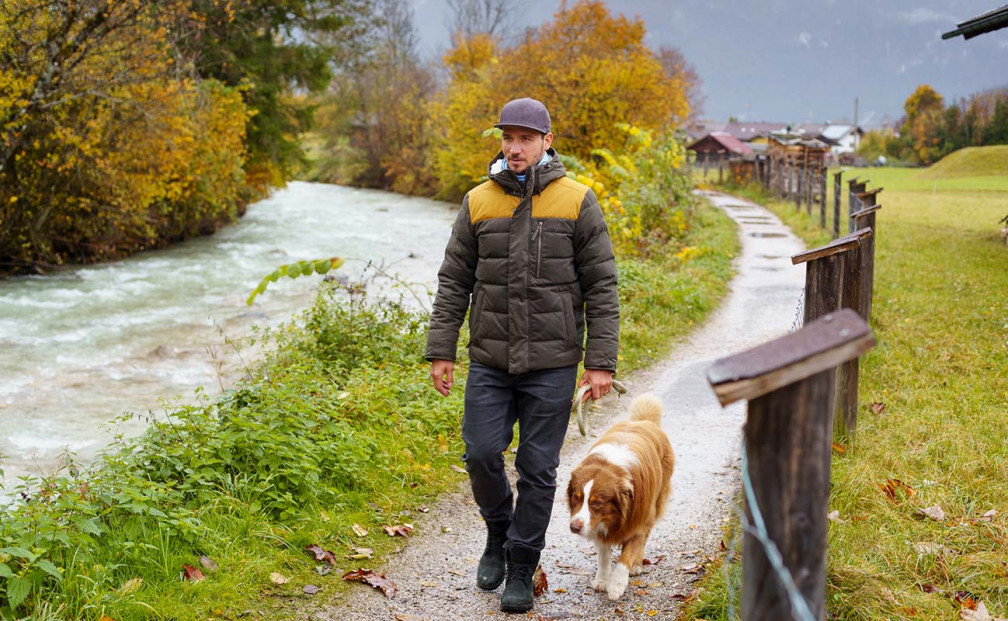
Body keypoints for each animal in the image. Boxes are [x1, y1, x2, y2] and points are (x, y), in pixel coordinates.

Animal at [564, 393, 673, 600]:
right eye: (576, 497)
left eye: (597, 503)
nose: (574, 527)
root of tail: (643, 422)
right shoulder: (598, 525)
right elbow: (604, 557)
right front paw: (602, 580)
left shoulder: (638, 519)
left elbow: (626, 556)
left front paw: (616, 585)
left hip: (655, 503)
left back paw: (637, 565)